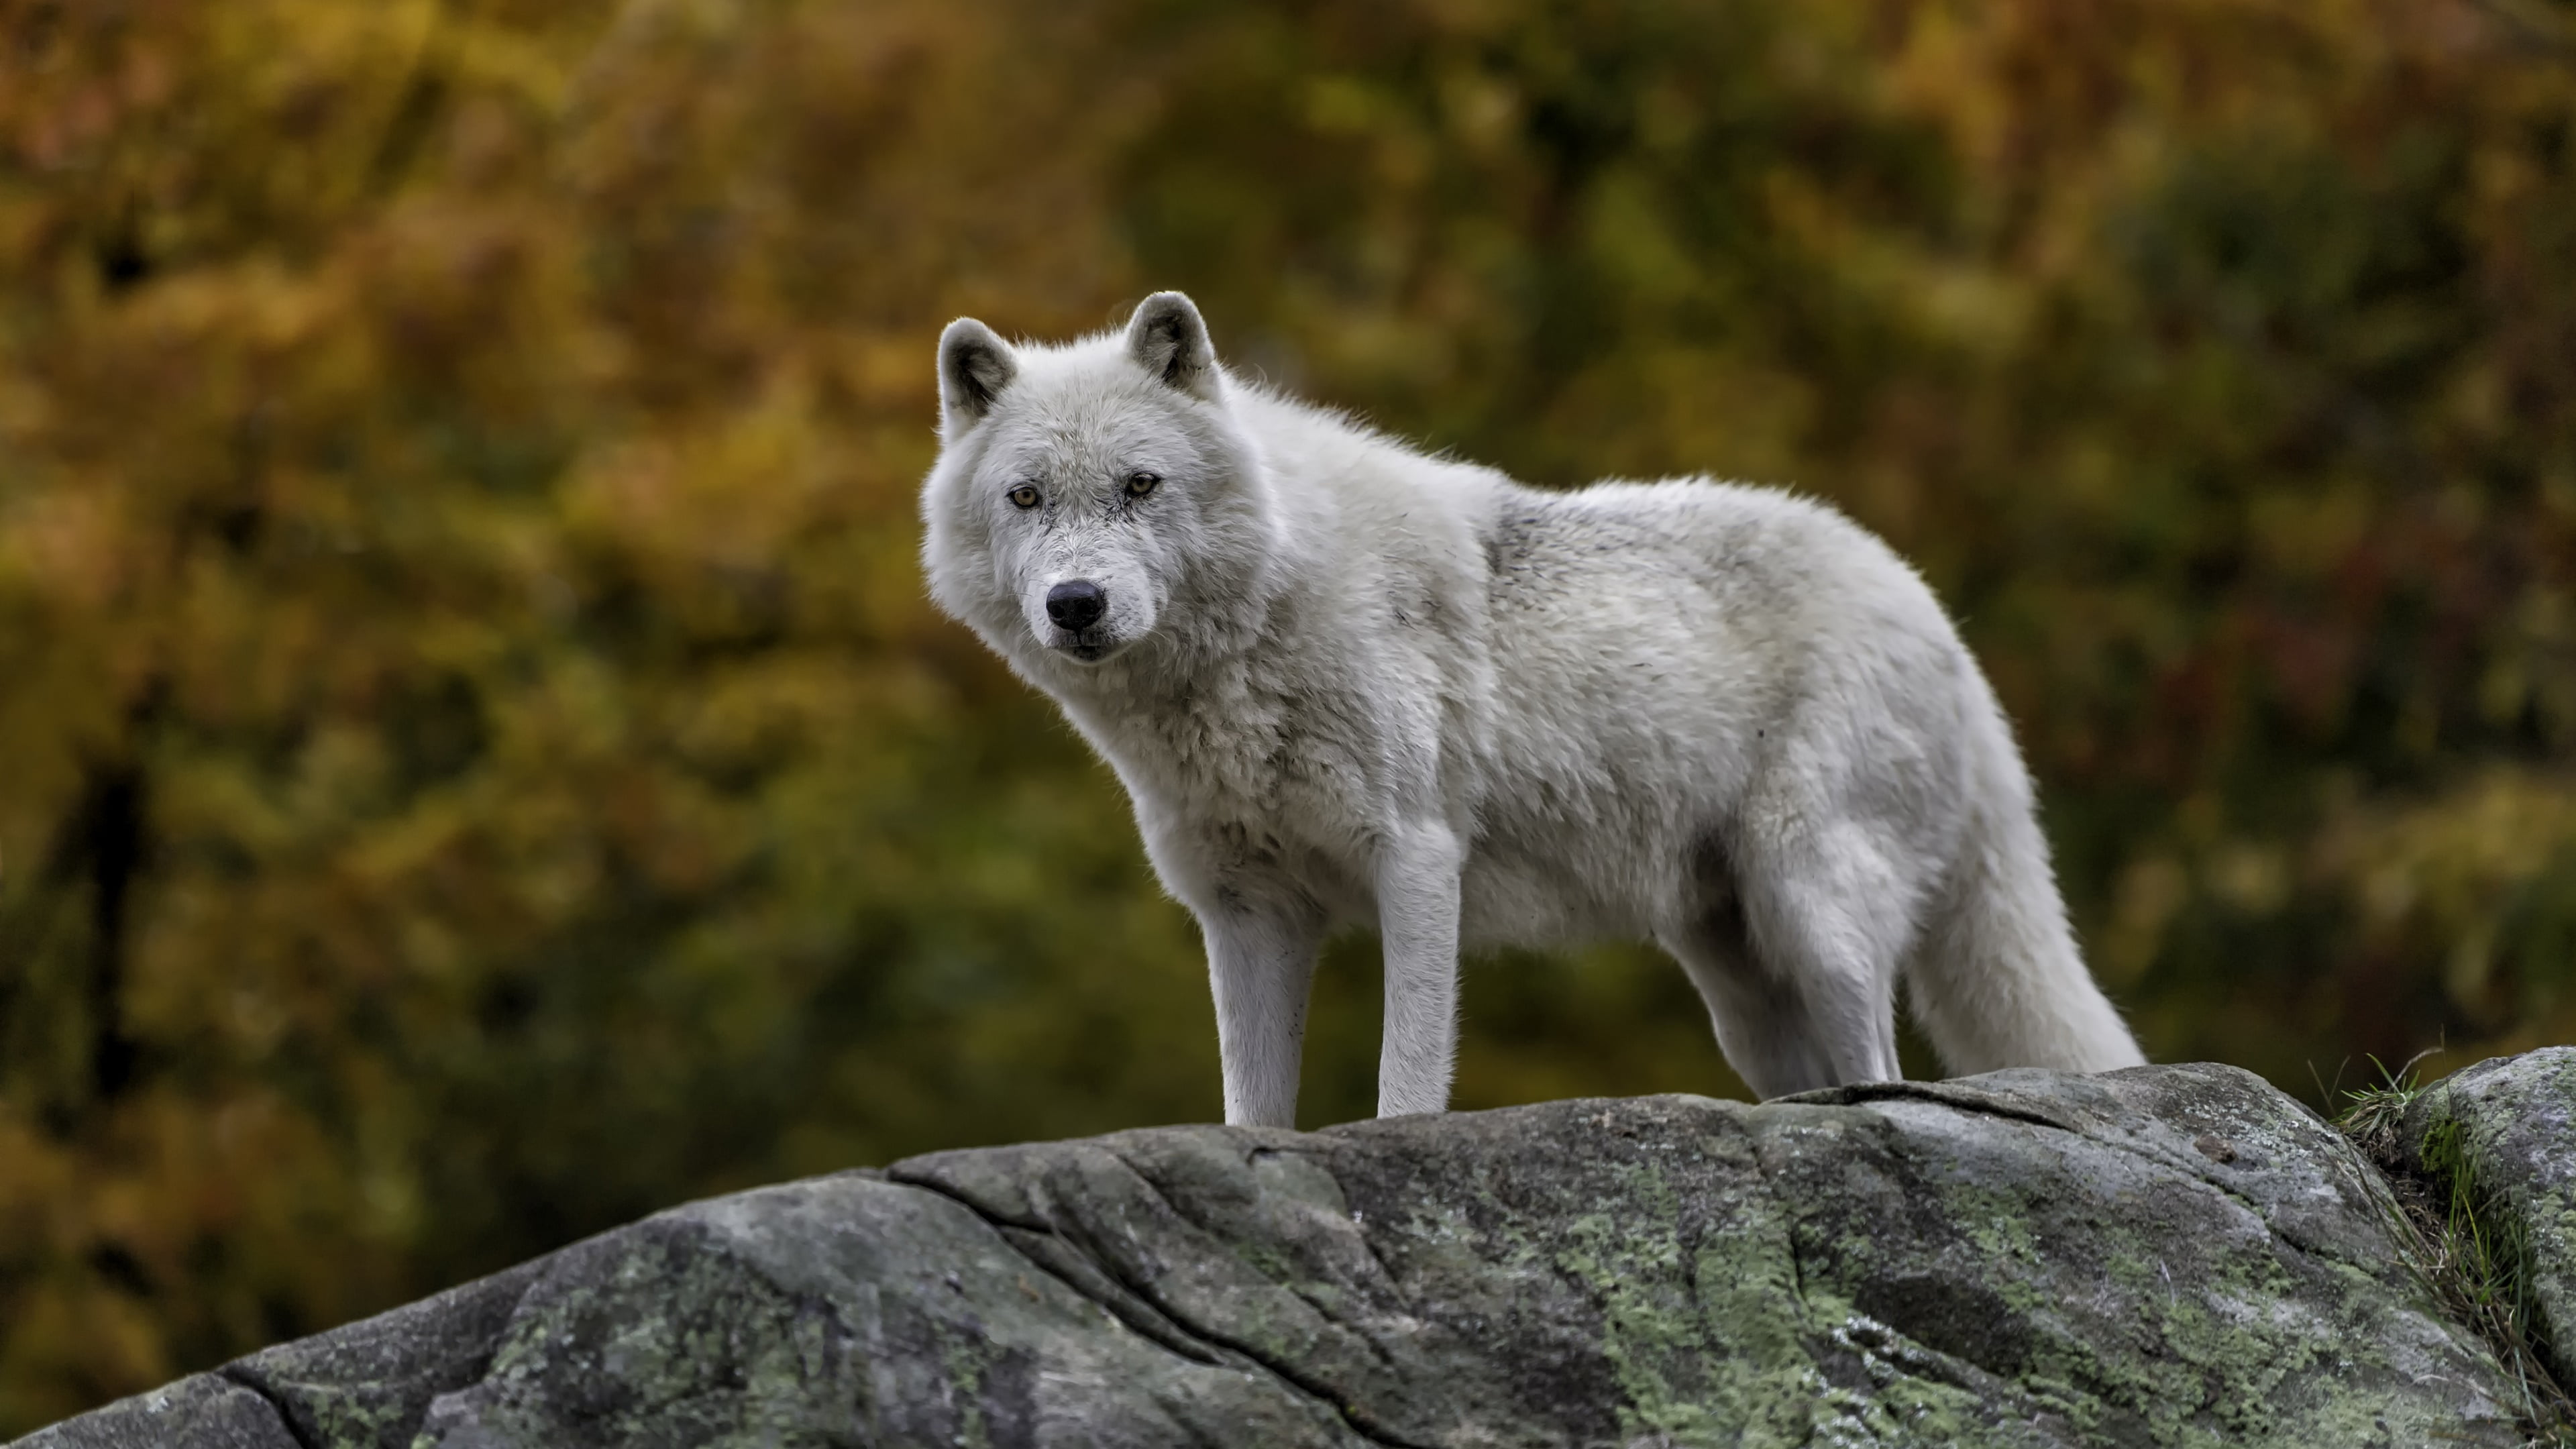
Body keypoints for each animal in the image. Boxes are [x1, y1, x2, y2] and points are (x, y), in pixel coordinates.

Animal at [919, 292, 2144, 1126]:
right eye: (1025, 498)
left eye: (1141, 487)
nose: (1076, 605)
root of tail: (1937, 617)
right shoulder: (1247, 912)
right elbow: (1250, 1109)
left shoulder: (1417, 860)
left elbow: (1407, 1080)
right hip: (1742, 981)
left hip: (1813, 910)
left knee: (1880, 1073)